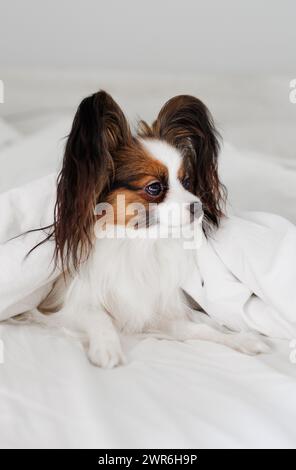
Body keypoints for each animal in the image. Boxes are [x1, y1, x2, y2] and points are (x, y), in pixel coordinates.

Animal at [34, 90, 268, 366]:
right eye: (154, 187)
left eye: (186, 181)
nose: (198, 206)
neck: (138, 242)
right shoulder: (64, 305)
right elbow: (98, 317)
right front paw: (107, 348)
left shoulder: (151, 308)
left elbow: (199, 328)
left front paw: (240, 340)